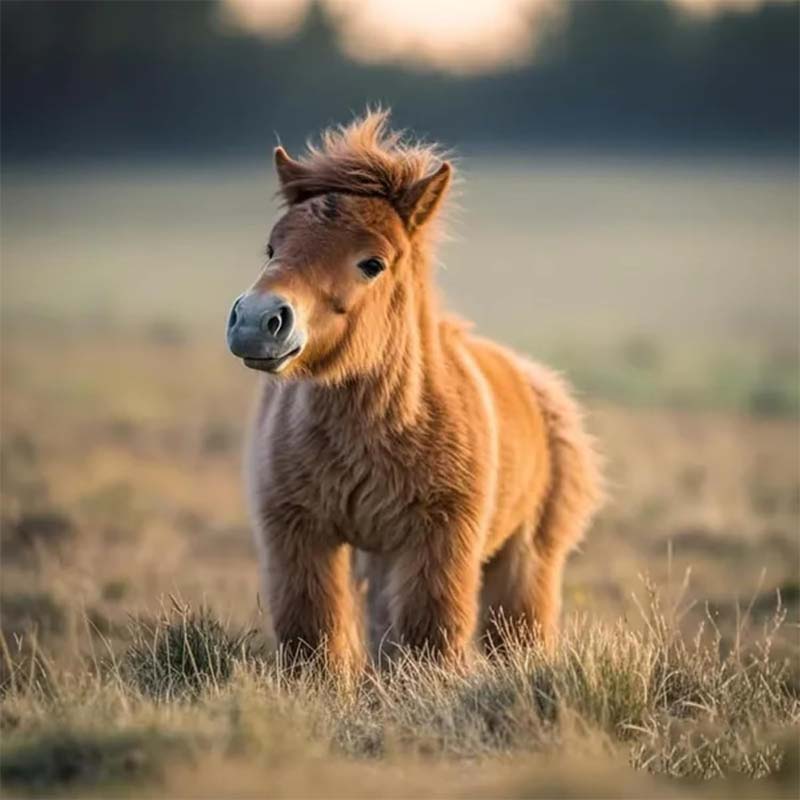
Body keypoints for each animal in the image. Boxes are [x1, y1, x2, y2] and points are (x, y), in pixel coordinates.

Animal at [226, 110, 603, 671]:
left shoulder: (440, 542)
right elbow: (314, 641)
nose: (257, 321)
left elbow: (432, 638)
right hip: (381, 557)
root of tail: (536, 384)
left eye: (372, 262)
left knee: (515, 635)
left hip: (523, 562)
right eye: (273, 248)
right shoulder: (298, 536)